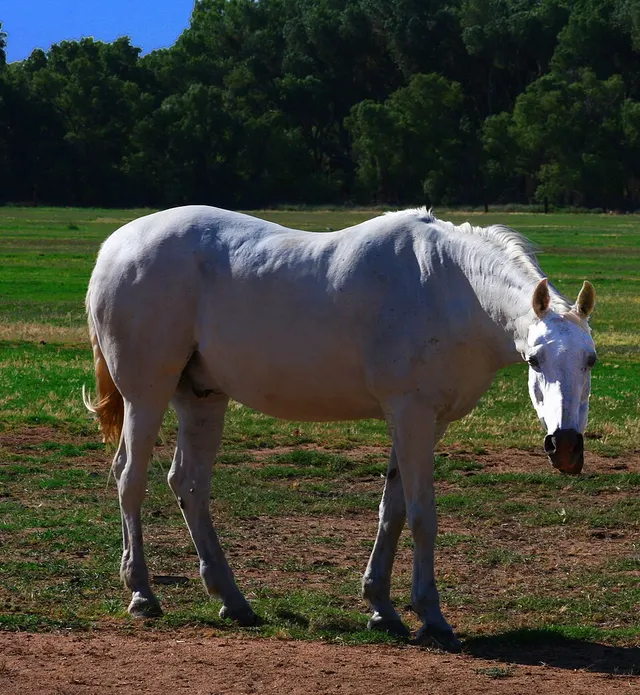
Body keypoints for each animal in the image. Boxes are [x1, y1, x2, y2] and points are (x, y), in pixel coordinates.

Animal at [84, 206, 596, 651]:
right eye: (535, 360)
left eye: (590, 359)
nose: (566, 446)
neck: (448, 288)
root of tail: (115, 245)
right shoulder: (411, 414)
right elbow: (422, 516)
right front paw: (431, 616)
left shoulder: (423, 423)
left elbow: (392, 511)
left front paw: (381, 608)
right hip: (146, 396)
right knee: (130, 479)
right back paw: (142, 593)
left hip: (201, 399)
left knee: (188, 484)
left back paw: (233, 600)